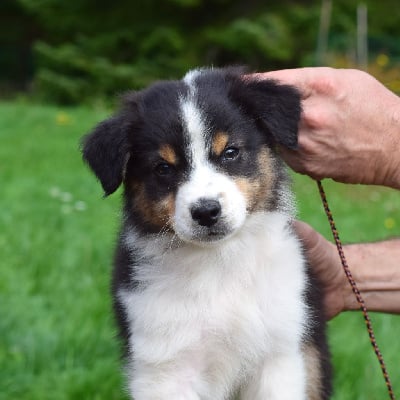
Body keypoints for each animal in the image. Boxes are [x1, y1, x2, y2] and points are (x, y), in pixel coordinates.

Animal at [81, 67, 332, 398]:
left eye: (230, 152)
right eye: (163, 168)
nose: (206, 212)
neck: (218, 261)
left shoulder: (280, 355)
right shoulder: (164, 366)